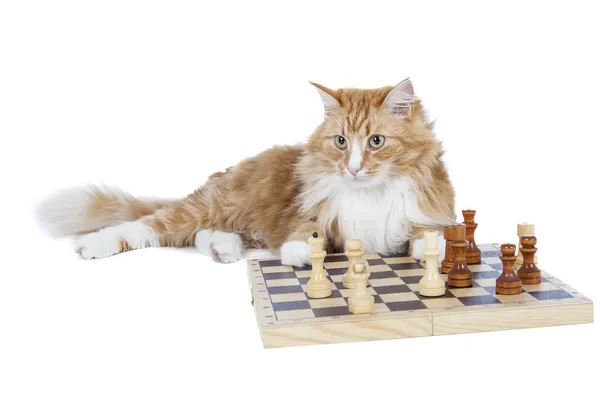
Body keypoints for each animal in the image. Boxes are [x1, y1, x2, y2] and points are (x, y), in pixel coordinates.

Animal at [36, 78, 454, 268]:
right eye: (339, 141)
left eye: (376, 141)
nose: (352, 168)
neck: (371, 193)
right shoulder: (308, 214)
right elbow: (309, 232)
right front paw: (301, 253)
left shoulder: (428, 211)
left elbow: (426, 234)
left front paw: (431, 251)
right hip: (209, 207)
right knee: (147, 227)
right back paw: (94, 245)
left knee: (205, 235)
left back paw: (223, 249)